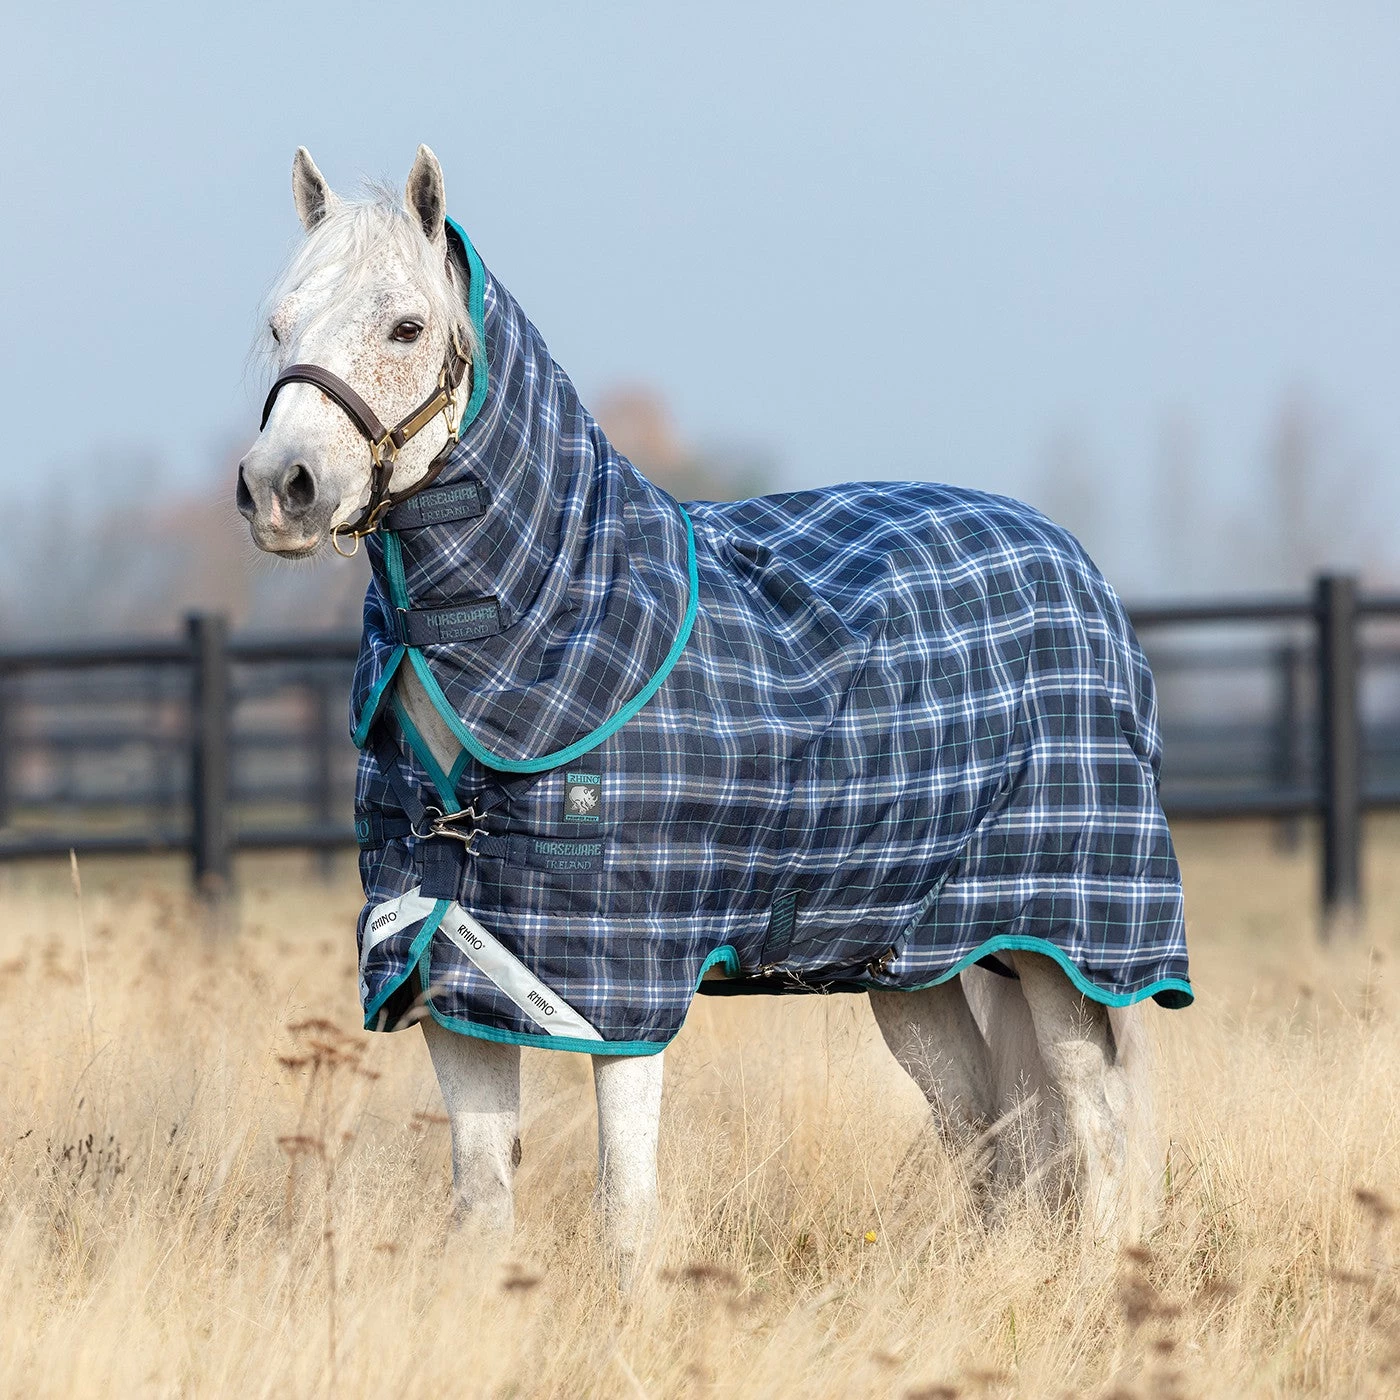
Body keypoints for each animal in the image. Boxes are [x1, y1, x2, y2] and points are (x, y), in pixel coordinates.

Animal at [236, 145, 1191, 1280]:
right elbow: (483, 1198)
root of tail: (1072, 564)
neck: (564, 617)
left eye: (406, 327)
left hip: (1063, 948)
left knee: (1096, 1122)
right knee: (985, 1131)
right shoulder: (447, 964)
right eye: (279, 324)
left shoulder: (615, 992)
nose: (279, 487)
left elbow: (624, 1205)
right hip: (915, 960)